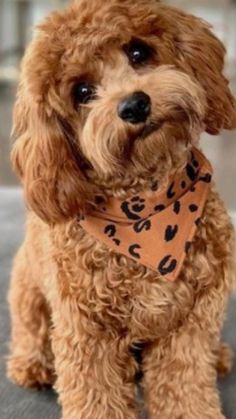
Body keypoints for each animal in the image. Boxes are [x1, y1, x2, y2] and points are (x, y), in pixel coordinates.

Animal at [6, 0, 235, 419]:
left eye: (138, 52)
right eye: (82, 91)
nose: (135, 104)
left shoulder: (192, 321)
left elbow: (185, 383)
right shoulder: (86, 332)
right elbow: (96, 394)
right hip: (27, 289)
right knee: (30, 330)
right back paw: (31, 365)